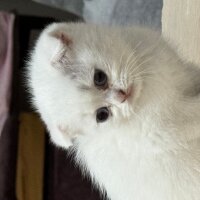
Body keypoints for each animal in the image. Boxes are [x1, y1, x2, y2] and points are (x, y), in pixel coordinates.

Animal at [27, 22, 200, 199]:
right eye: (102, 115)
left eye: (99, 78)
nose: (122, 97)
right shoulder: (167, 129)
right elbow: (194, 116)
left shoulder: (185, 75)